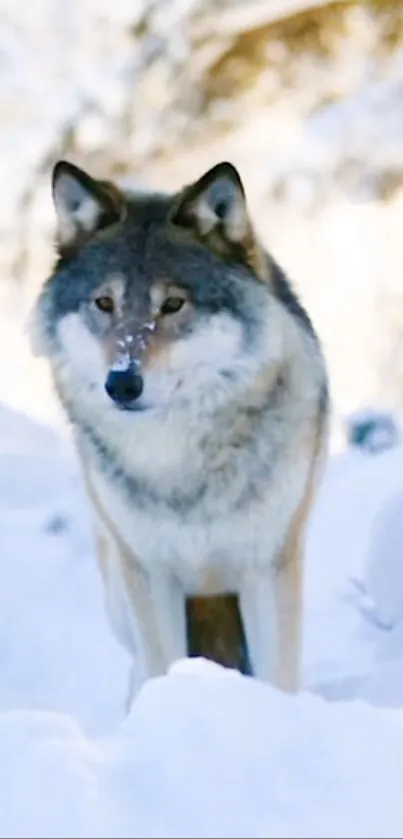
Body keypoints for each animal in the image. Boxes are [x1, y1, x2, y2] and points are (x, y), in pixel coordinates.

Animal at [30, 156, 330, 704]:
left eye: (172, 305)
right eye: (104, 303)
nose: (122, 383)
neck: (178, 463)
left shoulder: (267, 567)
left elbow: (277, 677)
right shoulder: (149, 575)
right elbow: (160, 667)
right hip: (117, 590)